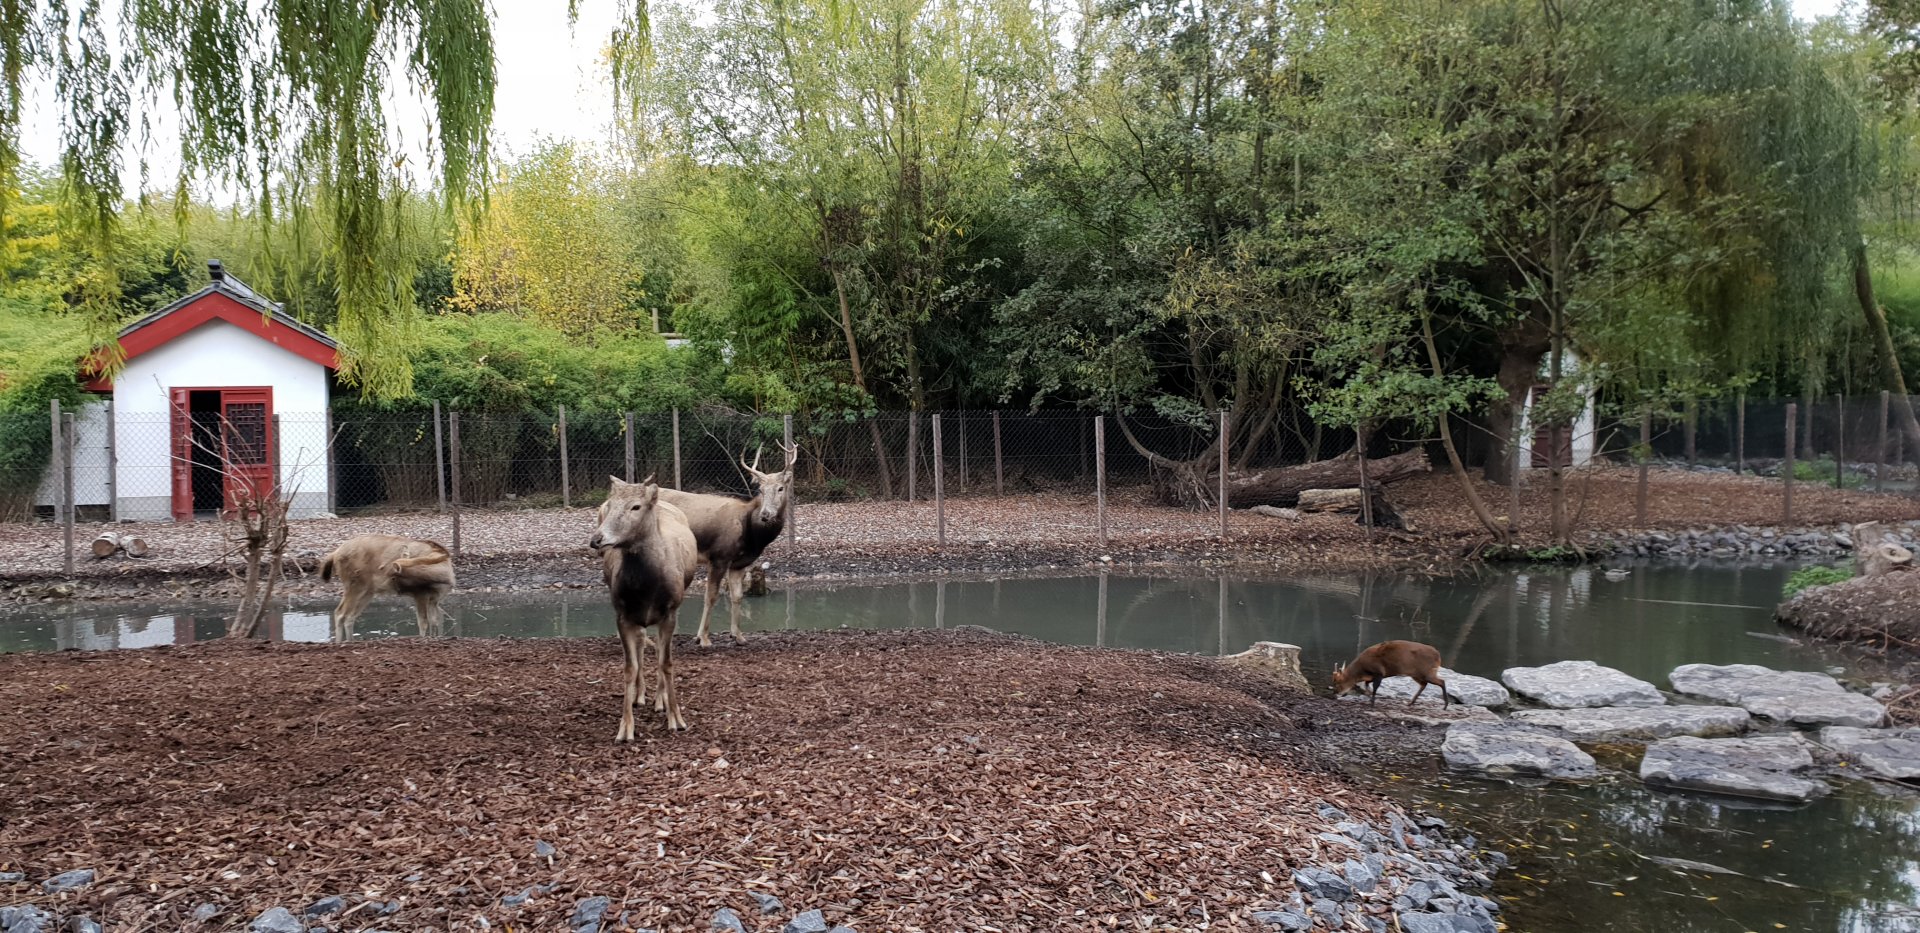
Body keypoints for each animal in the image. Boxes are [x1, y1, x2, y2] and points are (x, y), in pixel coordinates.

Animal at [320, 534, 456, 640]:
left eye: (394, 576)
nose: (383, 569)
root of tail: (334, 554)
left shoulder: (434, 599)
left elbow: (435, 621)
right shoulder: (420, 594)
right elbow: (423, 622)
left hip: (367, 592)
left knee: (349, 616)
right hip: (355, 586)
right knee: (340, 613)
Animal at [592, 476, 701, 737]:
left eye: (636, 507)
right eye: (610, 505)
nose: (597, 539)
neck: (647, 589)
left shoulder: (670, 611)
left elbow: (667, 662)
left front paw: (676, 719)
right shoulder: (622, 614)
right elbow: (629, 667)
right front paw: (625, 728)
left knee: (659, 649)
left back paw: (660, 701)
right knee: (642, 642)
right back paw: (639, 696)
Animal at [657, 440, 797, 647]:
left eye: (780, 488)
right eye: (761, 490)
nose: (765, 515)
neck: (751, 534)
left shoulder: (739, 564)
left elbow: (737, 596)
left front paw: (738, 636)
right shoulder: (719, 556)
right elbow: (711, 596)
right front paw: (703, 638)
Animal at [1330, 640, 1460, 709]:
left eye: (1338, 682)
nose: (1335, 693)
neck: (1361, 670)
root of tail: (1438, 656)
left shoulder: (1380, 672)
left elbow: (1375, 687)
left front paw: (1372, 702)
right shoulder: (1373, 675)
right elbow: (1367, 684)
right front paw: (1368, 696)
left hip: (1426, 671)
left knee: (1441, 681)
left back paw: (1445, 705)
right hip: (1416, 674)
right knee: (1424, 684)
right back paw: (1410, 703)